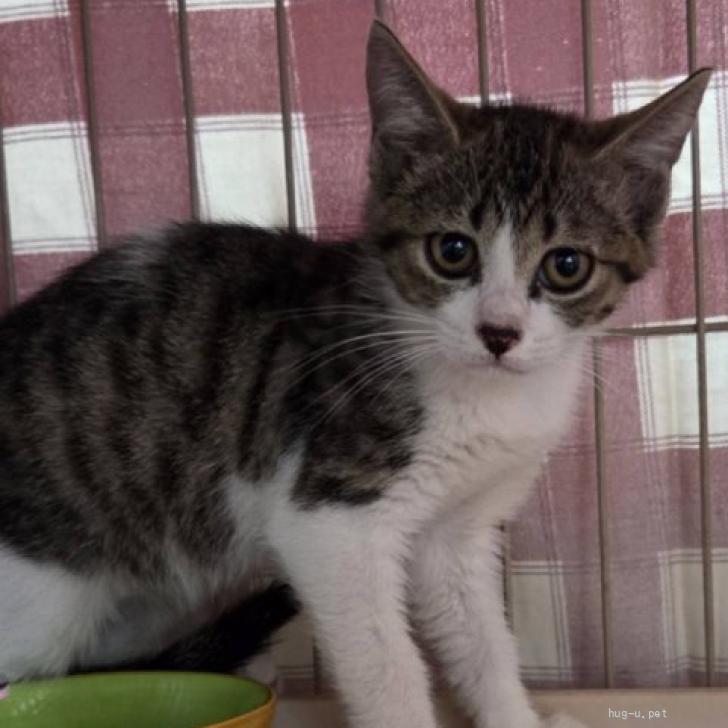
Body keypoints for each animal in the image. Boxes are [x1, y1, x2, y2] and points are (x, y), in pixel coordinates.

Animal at [0, 19, 709, 728]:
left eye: (566, 266)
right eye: (453, 251)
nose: (499, 332)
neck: (482, 396)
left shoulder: (459, 533)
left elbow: (482, 639)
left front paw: (517, 717)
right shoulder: (331, 521)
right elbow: (387, 668)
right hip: (46, 591)